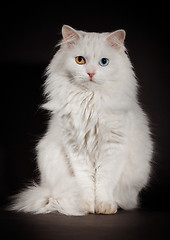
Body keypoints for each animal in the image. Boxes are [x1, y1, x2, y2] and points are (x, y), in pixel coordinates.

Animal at [9, 24, 153, 216]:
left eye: (104, 62)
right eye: (80, 60)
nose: (91, 73)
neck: (89, 103)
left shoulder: (113, 147)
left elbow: (103, 182)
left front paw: (105, 206)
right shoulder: (76, 149)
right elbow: (85, 182)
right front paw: (86, 205)